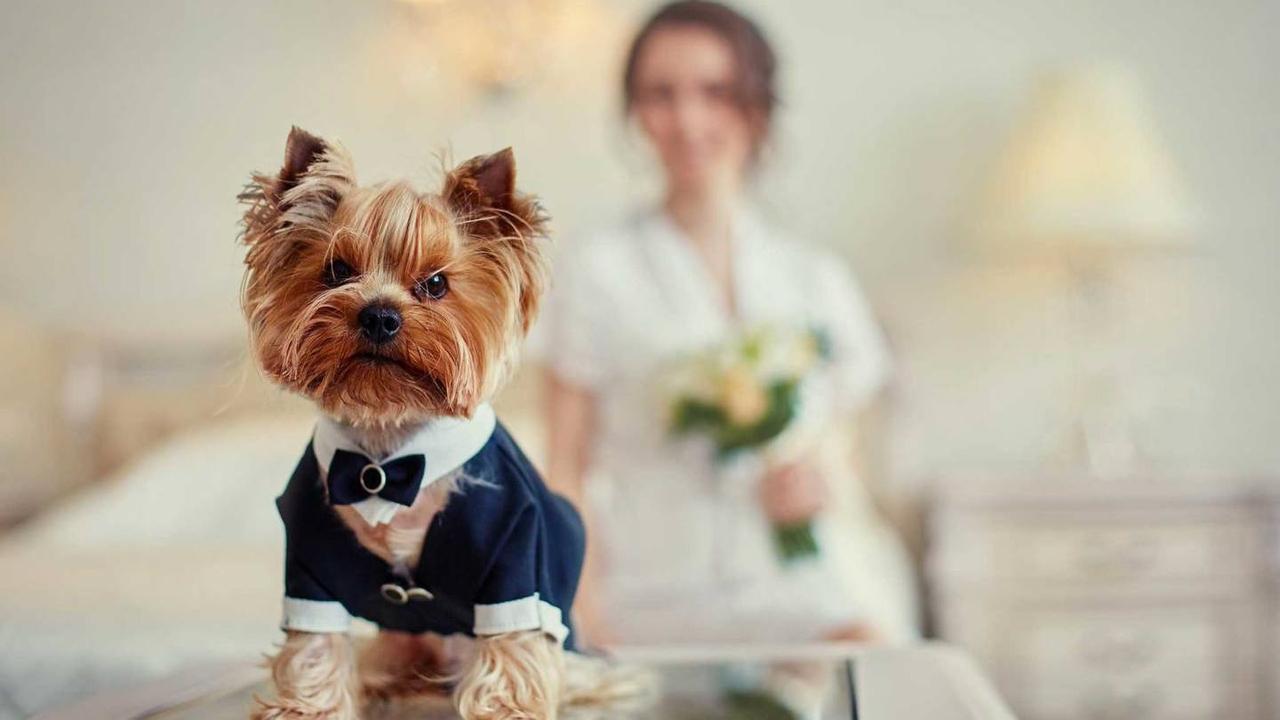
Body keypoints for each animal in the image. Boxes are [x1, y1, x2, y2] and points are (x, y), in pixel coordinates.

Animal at [238, 126, 637, 712]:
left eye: (436, 284)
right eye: (337, 271)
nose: (379, 315)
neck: (388, 455)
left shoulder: (517, 555)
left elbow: (513, 646)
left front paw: (505, 710)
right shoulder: (309, 562)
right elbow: (313, 647)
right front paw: (306, 708)